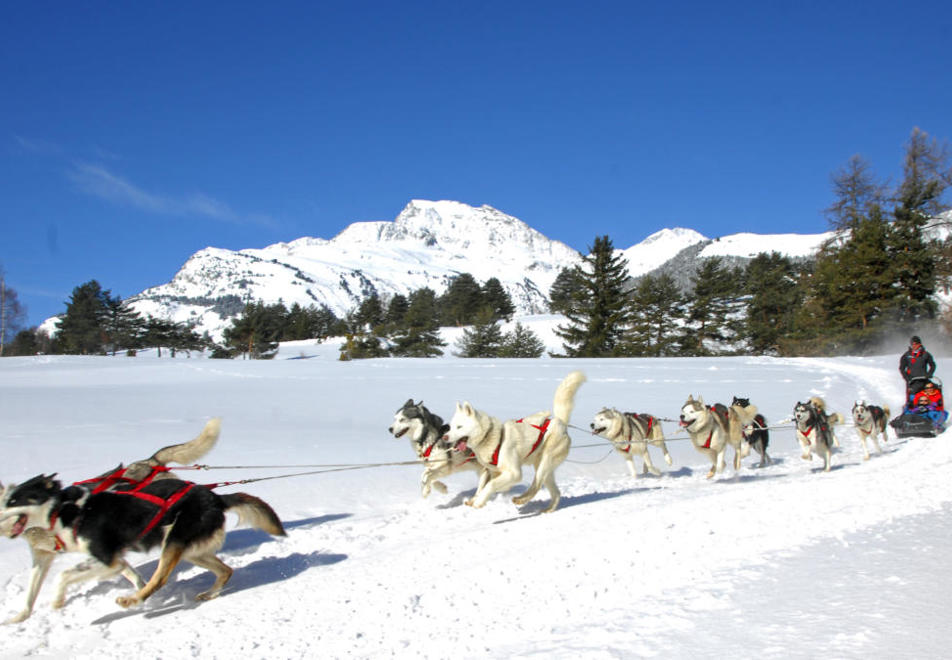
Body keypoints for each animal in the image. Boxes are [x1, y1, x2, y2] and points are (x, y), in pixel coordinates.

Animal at [2, 418, 221, 624]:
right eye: (4, 502)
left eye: (12, 502)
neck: (60, 512)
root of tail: (149, 461)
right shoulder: (45, 557)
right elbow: (31, 593)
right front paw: (19, 617)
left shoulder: (103, 554)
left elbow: (64, 576)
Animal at [442, 368, 584, 512]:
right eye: (451, 427)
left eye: (459, 427)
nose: (444, 437)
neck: (493, 437)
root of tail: (561, 422)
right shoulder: (494, 472)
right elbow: (483, 486)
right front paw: (475, 499)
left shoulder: (514, 473)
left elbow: (490, 485)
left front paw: (479, 502)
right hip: (545, 468)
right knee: (555, 492)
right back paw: (548, 510)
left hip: (544, 462)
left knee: (536, 485)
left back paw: (521, 499)